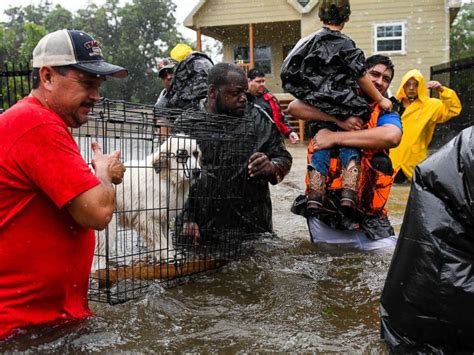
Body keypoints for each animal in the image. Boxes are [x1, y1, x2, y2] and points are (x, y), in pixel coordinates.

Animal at [92, 135, 202, 272]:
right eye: (181, 155)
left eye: (196, 154)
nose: (197, 172)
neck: (165, 178)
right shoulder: (147, 218)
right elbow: (160, 241)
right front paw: (167, 256)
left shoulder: (162, 217)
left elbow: (168, 240)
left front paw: (172, 254)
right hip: (106, 227)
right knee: (97, 258)